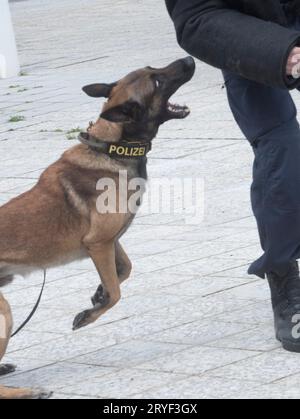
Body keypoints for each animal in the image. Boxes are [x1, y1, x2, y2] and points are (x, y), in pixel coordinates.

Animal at [0, 56, 196, 400]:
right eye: (157, 81)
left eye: (153, 70)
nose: (188, 59)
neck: (113, 146)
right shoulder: (98, 243)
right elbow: (117, 292)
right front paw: (90, 313)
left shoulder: (109, 242)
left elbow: (124, 271)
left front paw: (98, 293)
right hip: (3, 313)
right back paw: (25, 391)